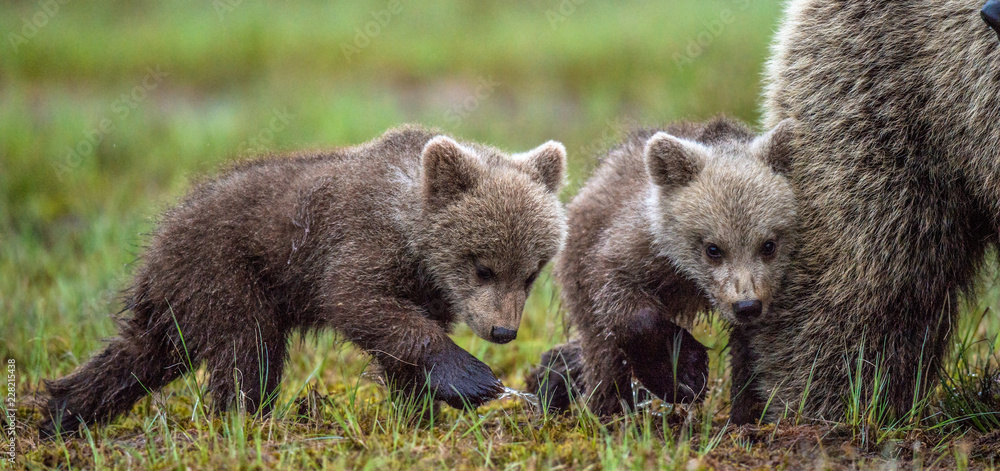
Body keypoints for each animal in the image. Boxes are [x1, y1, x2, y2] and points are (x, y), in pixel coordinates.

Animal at [40, 125, 568, 437]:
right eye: (483, 266)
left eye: (532, 271)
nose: (504, 331)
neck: (414, 236)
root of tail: (160, 237)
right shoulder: (360, 242)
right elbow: (358, 301)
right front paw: (470, 377)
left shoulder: (429, 288)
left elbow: (399, 344)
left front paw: (419, 415)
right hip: (225, 272)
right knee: (248, 350)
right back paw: (247, 422)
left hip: (181, 298)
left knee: (145, 352)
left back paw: (60, 413)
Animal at [527, 117, 798, 422]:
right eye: (713, 248)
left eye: (768, 245)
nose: (747, 306)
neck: (692, 281)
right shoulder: (640, 248)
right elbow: (623, 301)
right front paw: (683, 373)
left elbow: (752, 353)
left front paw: (746, 415)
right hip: (577, 259)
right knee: (602, 353)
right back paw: (607, 411)